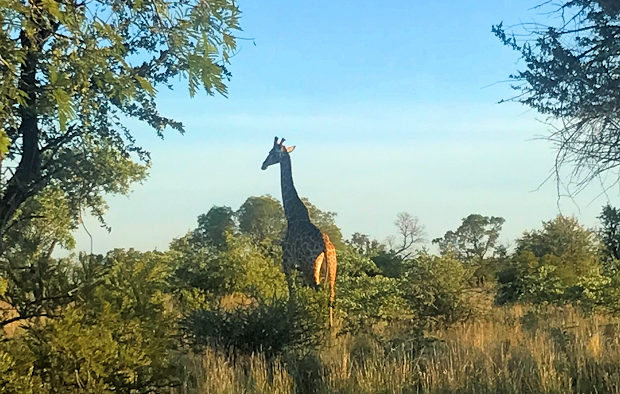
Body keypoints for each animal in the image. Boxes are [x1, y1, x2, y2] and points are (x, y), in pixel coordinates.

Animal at [262, 135, 340, 326]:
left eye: (271, 152)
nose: (263, 164)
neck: (292, 215)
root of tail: (326, 247)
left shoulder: (287, 262)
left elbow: (292, 294)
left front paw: (291, 319)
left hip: (309, 266)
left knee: (319, 290)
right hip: (331, 269)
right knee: (331, 295)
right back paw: (330, 327)